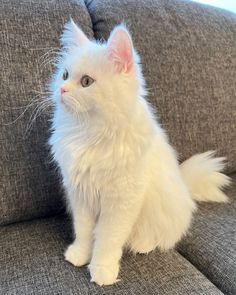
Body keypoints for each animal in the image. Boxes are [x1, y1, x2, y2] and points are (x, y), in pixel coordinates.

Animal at [48, 19, 230, 286]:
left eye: (86, 82)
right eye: (64, 75)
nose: (61, 90)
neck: (89, 132)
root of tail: (184, 184)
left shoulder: (121, 201)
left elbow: (107, 240)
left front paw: (102, 270)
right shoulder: (80, 195)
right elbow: (83, 232)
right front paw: (79, 255)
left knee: (162, 236)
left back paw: (143, 245)